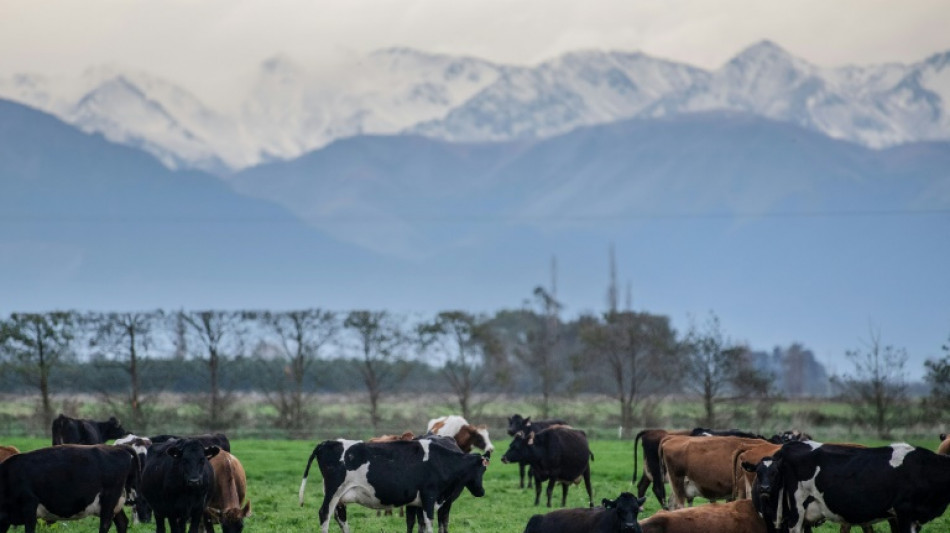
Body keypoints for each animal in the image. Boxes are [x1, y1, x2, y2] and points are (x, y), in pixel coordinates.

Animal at [0, 442, 139, 532]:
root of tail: (117, 448)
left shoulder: (29, 506)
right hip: (116, 502)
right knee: (122, 522)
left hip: (109, 499)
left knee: (105, 524)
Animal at [300, 436, 490, 532]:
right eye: (482, 469)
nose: (481, 491)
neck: (442, 461)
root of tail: (327, 442)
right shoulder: (429, 495)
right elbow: (429, 523)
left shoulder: (425, 501)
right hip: (334, 490)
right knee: (324, 514)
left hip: (340, 495)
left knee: (340, 517)